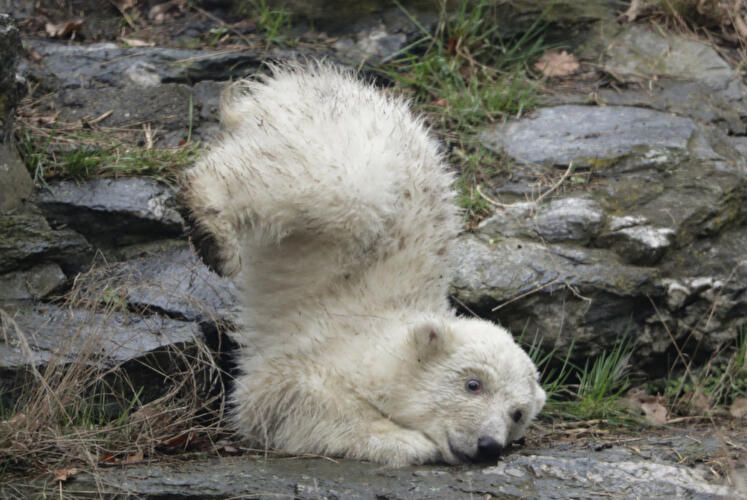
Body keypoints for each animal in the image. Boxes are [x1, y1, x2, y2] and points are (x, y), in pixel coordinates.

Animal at [178, 63, 546, 467]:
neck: (385, 335)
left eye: (517, 413)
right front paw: (410, 442)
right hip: (352, 150)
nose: (488, 445)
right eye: (473, 384)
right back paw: (213, 231)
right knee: (333, 187)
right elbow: (287, 395)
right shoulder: (325, 346)